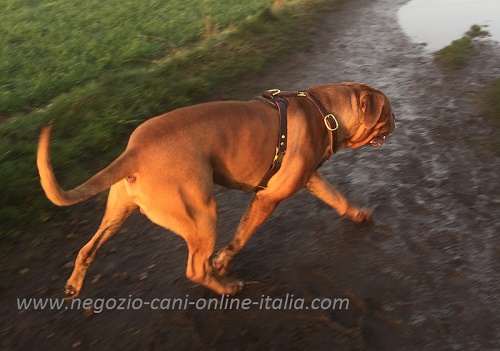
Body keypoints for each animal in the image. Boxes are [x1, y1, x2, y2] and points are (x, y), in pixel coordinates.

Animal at [36, 82, 394, 296]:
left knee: (87, 248)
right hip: (201, 214)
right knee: (195, 268)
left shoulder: (311, 180)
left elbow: (338, 198)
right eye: (388, 112)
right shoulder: (268, 197)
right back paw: (227, 287)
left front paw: (358, 214)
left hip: (119, 211)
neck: (325, 112)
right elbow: (242, 233)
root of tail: (134, 151)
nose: (397, 121)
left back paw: (73, 286)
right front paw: (224, 261)